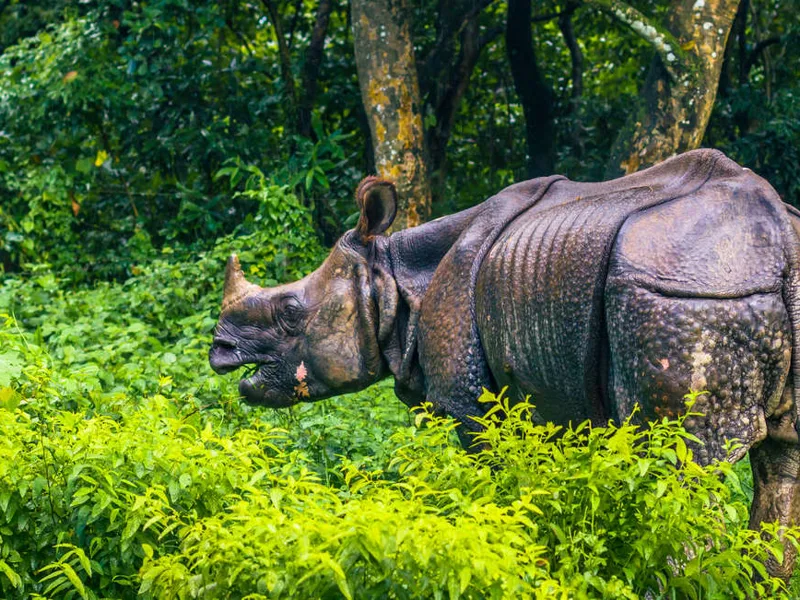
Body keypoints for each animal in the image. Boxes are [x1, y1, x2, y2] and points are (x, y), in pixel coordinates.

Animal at [210, 149, 800, 580]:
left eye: (291, 315)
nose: (219, 350)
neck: (396, 277)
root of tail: (780, 241)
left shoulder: (471, 408)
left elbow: (496, 488)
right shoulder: (550, 398)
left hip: (686, 294)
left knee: (679, 469)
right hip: (724, 286)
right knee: (782, 468)